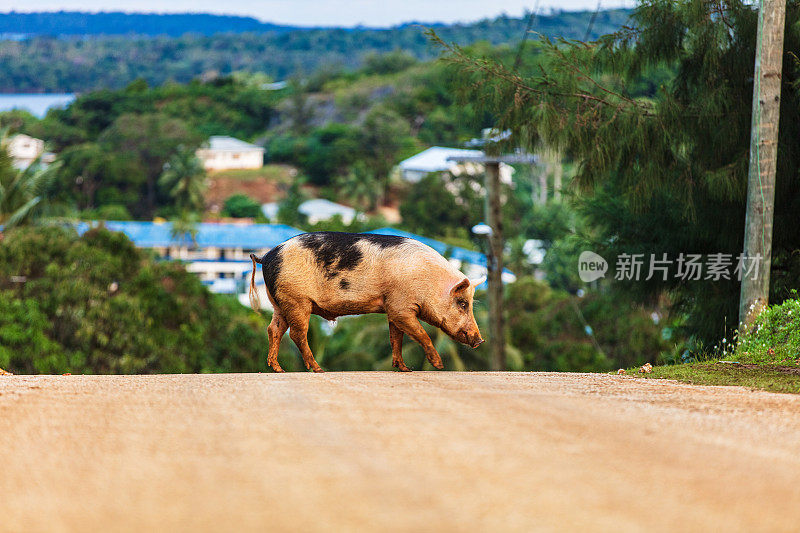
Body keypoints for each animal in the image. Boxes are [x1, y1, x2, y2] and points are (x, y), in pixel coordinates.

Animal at [250, 231, 484, 372]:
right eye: (463, 303)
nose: (480, 340)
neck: (428, 281)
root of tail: (267, 256)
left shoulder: (392, 307)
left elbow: (395, 338)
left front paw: (404, 369)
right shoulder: (400, 306)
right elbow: (422, 334)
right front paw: (439, 365)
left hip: (280, 302)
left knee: (274, 329)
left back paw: (277, 368)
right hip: (296, 300)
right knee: (297, 334)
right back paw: (318, 369)